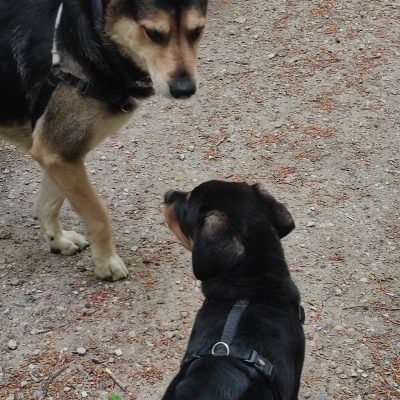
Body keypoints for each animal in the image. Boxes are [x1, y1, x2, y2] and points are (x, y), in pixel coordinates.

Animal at [0, 0, 208, 280]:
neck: (89, 34)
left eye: (196, 31)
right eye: (153, 34)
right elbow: (98, 216)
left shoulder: (57, 154)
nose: (185, 90)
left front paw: (58, 240)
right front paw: (106, 262)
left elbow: (48, 203)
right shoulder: (60, 156)